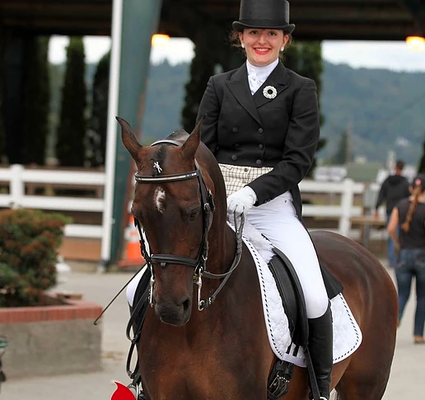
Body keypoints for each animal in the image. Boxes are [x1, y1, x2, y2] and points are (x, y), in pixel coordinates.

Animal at [117, 116, 400, 400]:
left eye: (194, 211)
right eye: (137, 214)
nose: (171, 308)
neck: (196, 326)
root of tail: (365, 255)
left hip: (366, 387)